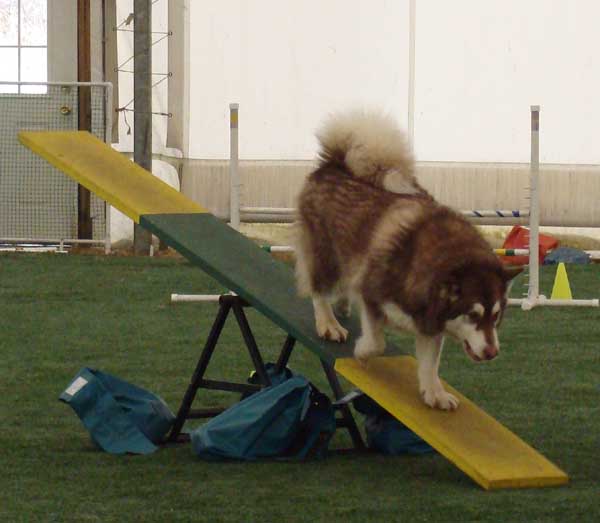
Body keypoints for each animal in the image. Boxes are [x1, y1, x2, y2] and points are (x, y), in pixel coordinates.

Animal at [296, 110, 520, 412]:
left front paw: (434, 392)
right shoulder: (372, 294)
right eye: (473, 315)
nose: (491, 352)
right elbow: (377, 343)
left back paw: (342, 305)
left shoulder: (431, 323)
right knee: (318, 288)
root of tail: (335, 164)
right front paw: (362, 352)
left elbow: (430, 363)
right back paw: (328, 323)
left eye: (496, 316)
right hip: (326, 254)